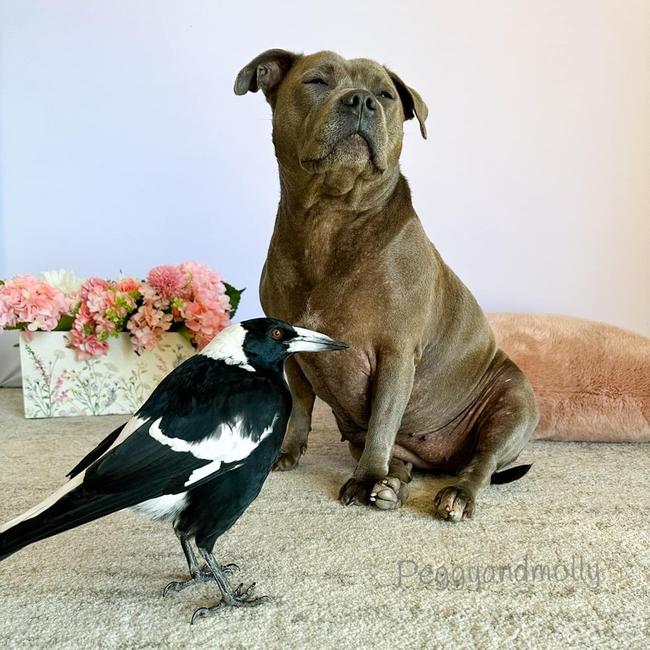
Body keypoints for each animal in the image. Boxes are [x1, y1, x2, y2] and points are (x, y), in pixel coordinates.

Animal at [233, 48, 536, 520]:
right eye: (317, 81)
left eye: (385, 94)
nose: (360, 100)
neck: (331, 217)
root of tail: (438, 459)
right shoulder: (293, 351)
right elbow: (300, 408)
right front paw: (287, 452)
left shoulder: (395, 353)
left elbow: (382, 420)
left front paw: (367, 480)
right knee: (403, 461)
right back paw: (394, 480)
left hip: (513, 404)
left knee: (481, 464)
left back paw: (448, 492)